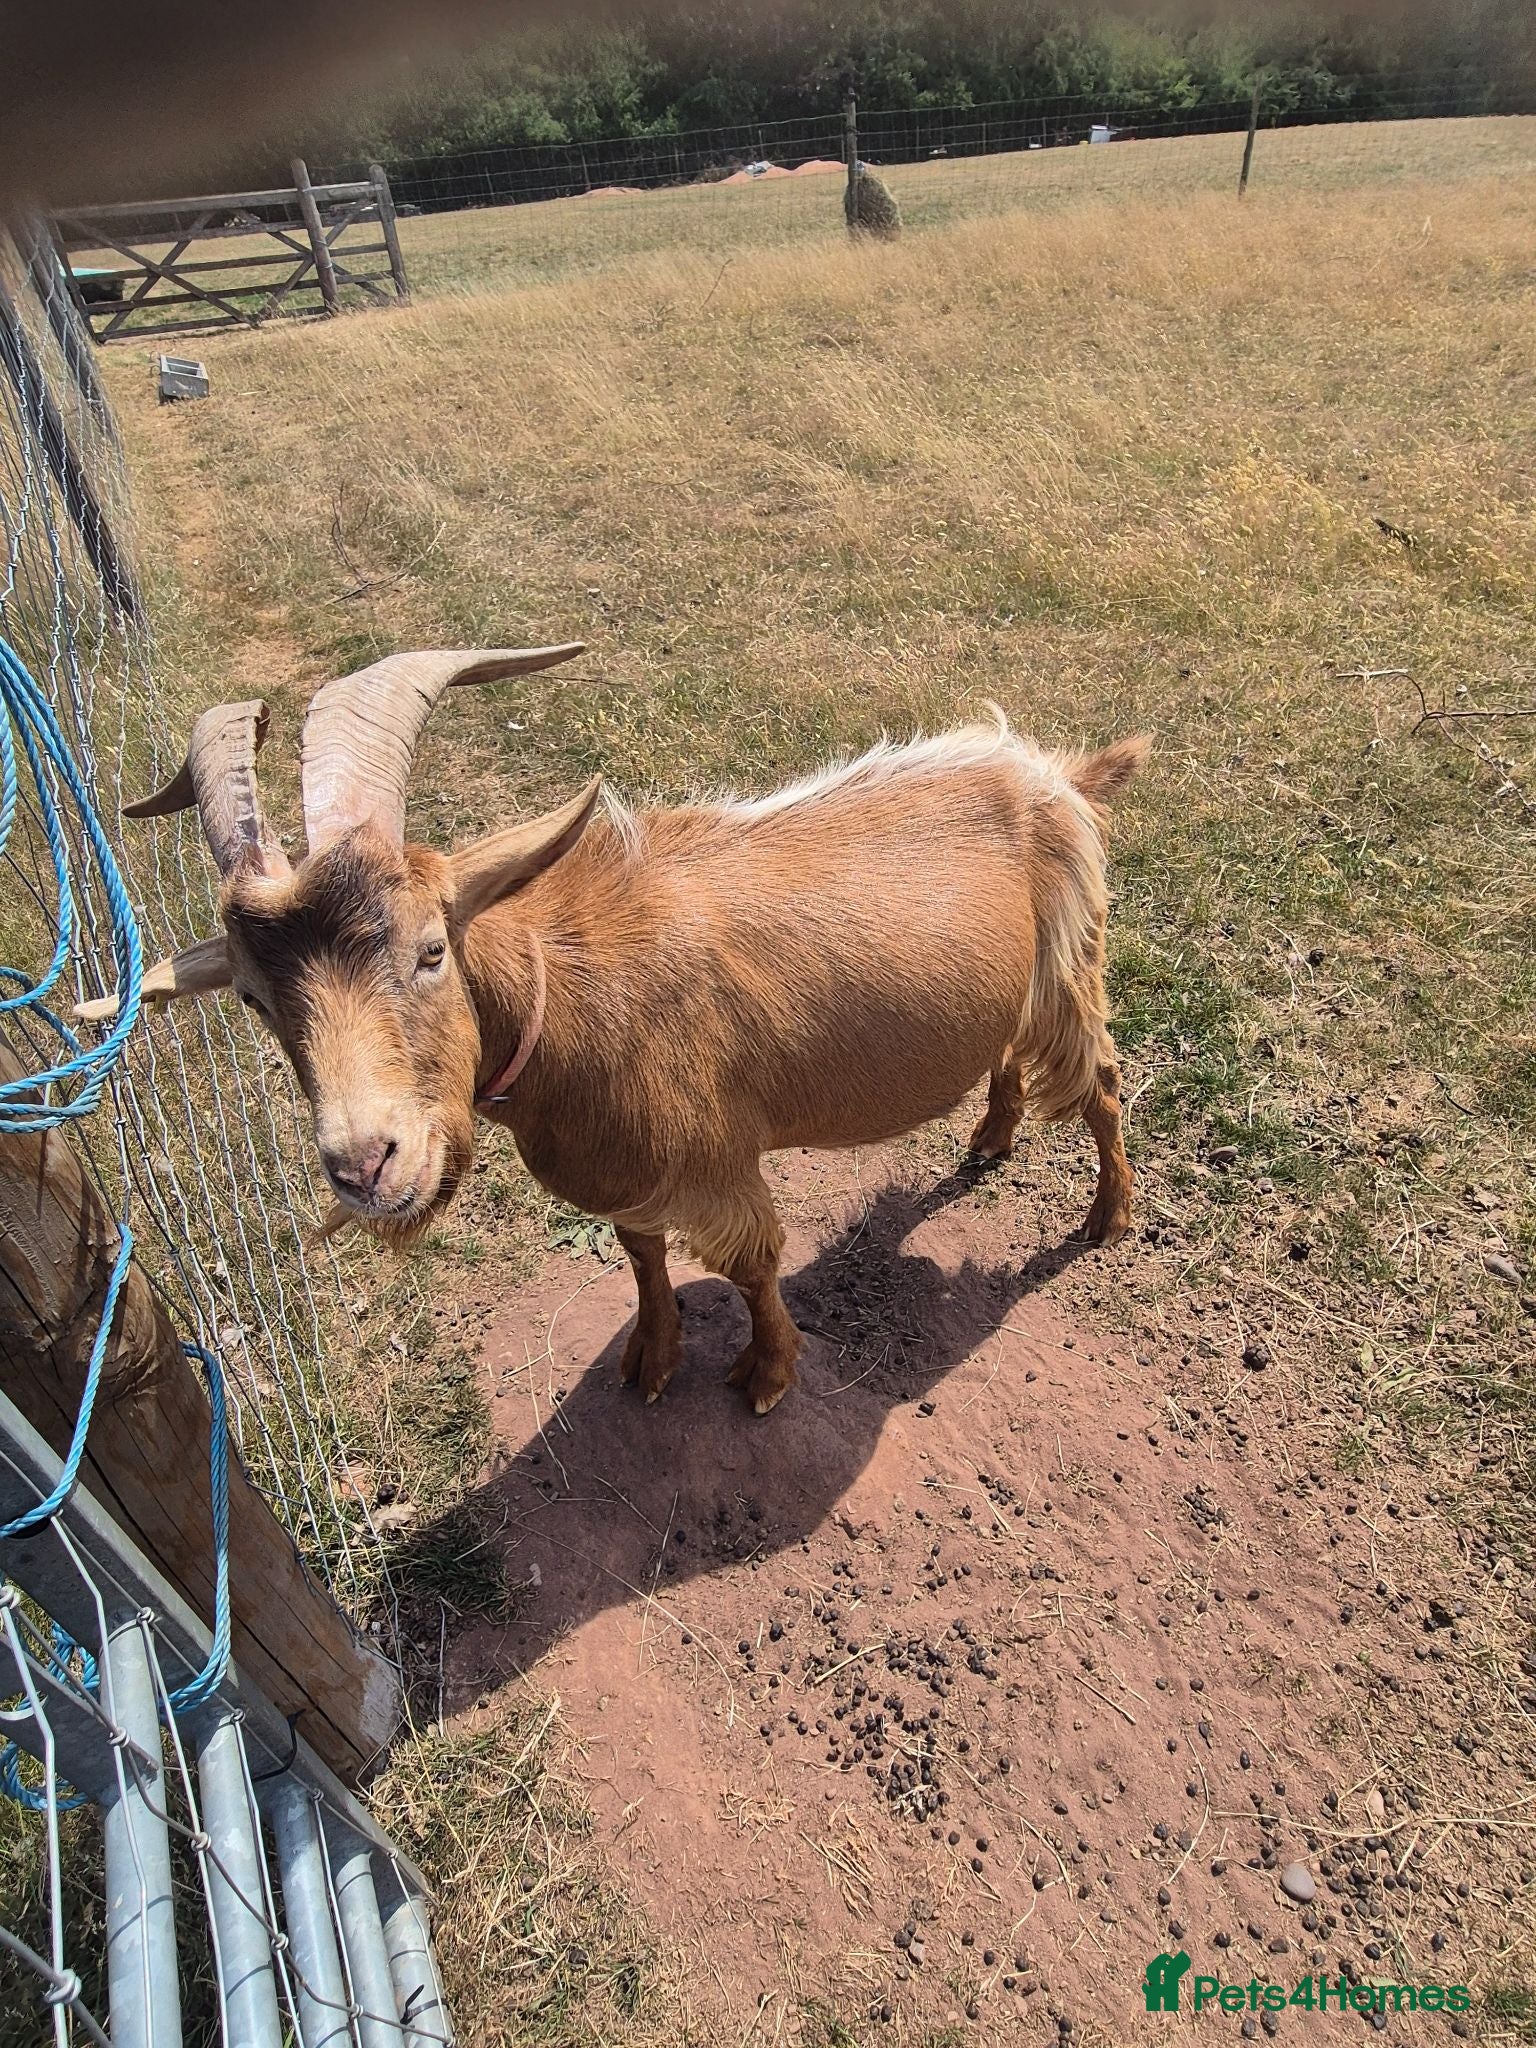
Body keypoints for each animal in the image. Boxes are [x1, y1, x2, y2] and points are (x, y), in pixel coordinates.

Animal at [89, 647, 1149, 1414]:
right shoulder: (631, 1177)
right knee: (1010, 1058)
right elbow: (643, 1258)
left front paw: (767, 1378)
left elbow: (755, 1264)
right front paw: (651, 1358)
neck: (565, 993)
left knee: (1098, 1080)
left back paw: (1107, 1217)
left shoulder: (716, 1161)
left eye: (432, 949)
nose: (366, 1166)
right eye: (253, 1000)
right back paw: (989, 1139)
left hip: (1071, 966)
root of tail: (1057, 775)